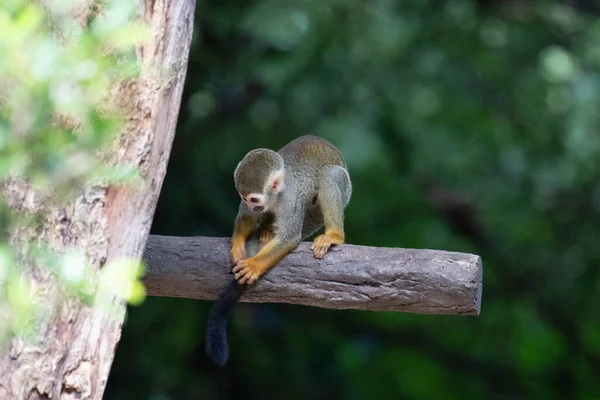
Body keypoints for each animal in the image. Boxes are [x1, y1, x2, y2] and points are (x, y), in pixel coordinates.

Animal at [205, 134, 352, 366]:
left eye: (254, 199)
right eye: (244, 198)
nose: (253, 206)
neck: (275, 195)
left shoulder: (289, 200)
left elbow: (289, 237)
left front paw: (253, 266)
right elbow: (246, 217)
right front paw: (237, 246)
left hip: (344, 190)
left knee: (329, 175)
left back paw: (334, 235)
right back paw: (266, 230)